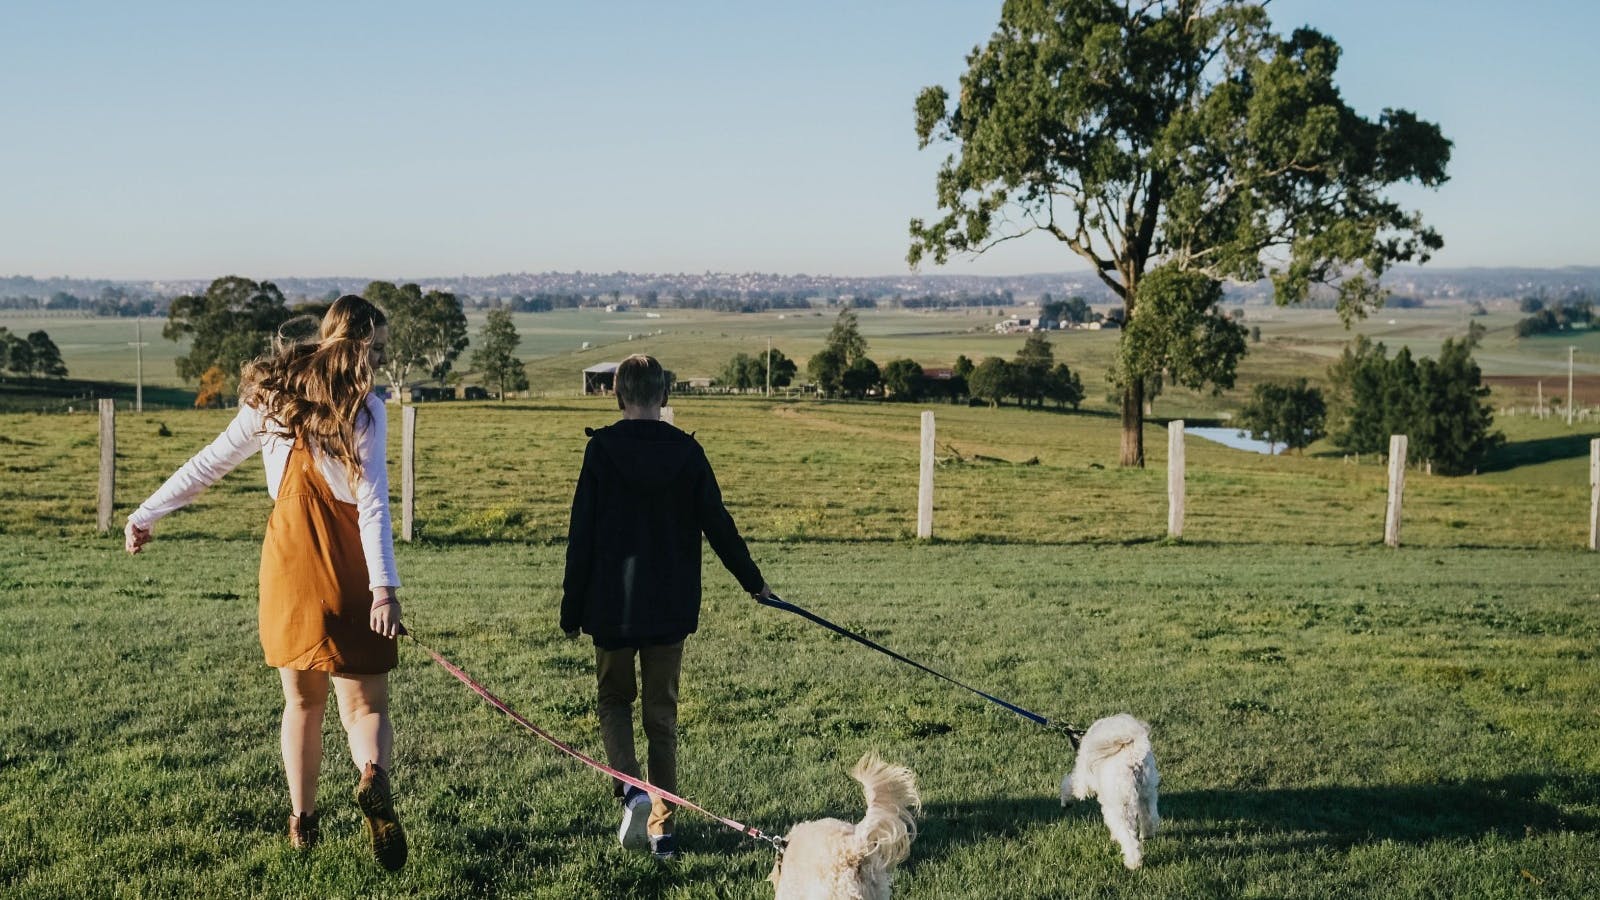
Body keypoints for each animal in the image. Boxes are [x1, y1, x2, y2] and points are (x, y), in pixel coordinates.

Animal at [1062, 711, 1164, 864]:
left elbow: (1069, 785)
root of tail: (1133, 759)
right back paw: (1147, 835)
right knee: (1150, 817)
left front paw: (1065, 801)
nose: (1066, 730)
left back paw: (1133, 862)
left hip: (1120, 806)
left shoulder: (1082, 781)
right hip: (1147, 794)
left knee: (1129, 836)